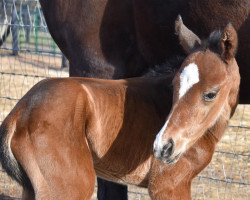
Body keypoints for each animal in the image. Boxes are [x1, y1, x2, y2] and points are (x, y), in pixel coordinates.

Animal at [0, 19, 240, 200]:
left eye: (211, 93)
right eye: (174, 86)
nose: (163, 147)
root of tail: (20, 111)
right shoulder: (168, 185)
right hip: (69, 187)